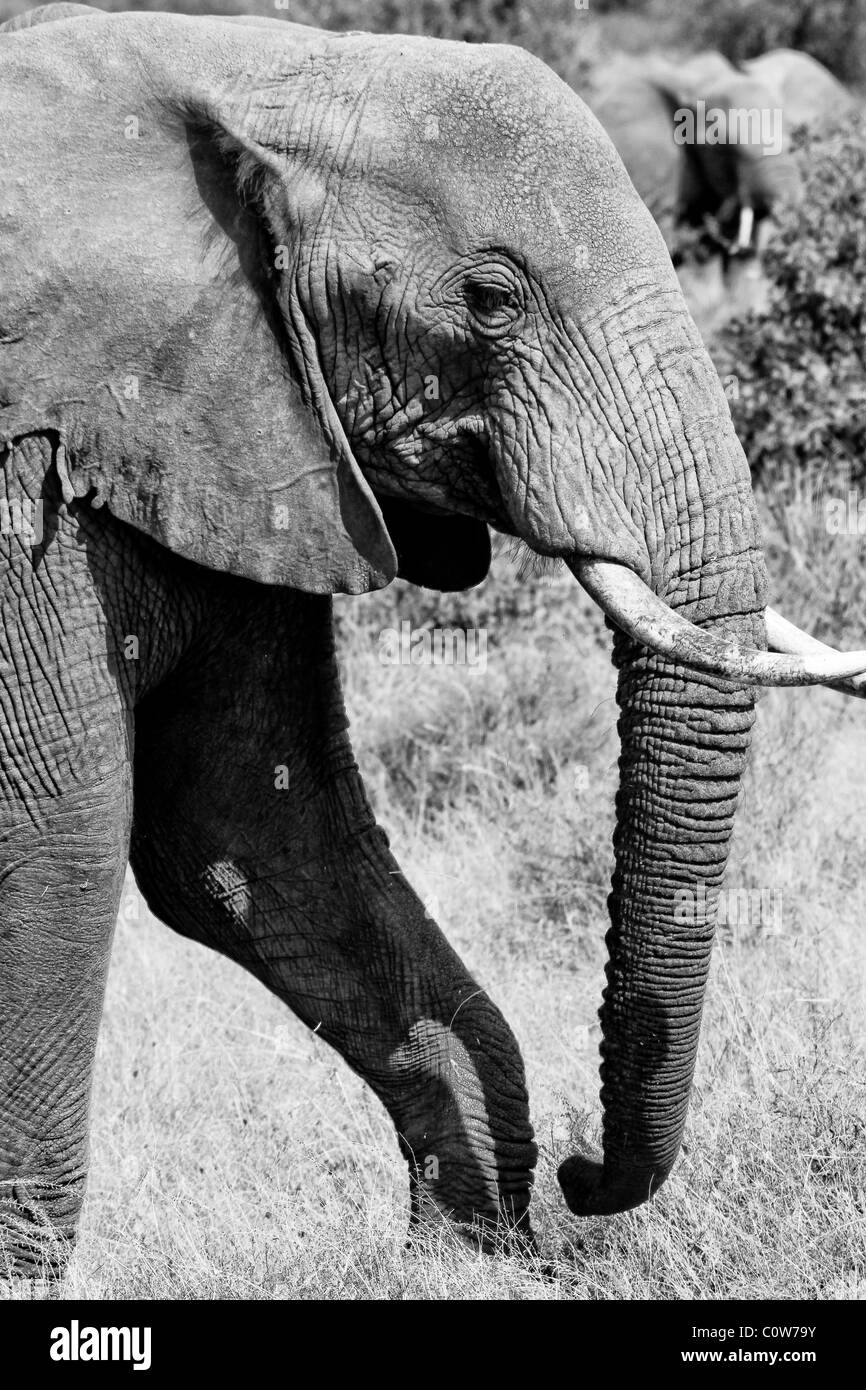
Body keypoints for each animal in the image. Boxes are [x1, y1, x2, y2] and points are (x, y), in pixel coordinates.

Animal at [1, 5, 866, 1273]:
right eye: (492, 300)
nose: (582, 1173)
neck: (257, 65)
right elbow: (54, 840)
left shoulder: (254, 420)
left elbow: (250, 835)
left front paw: (466, 1252)